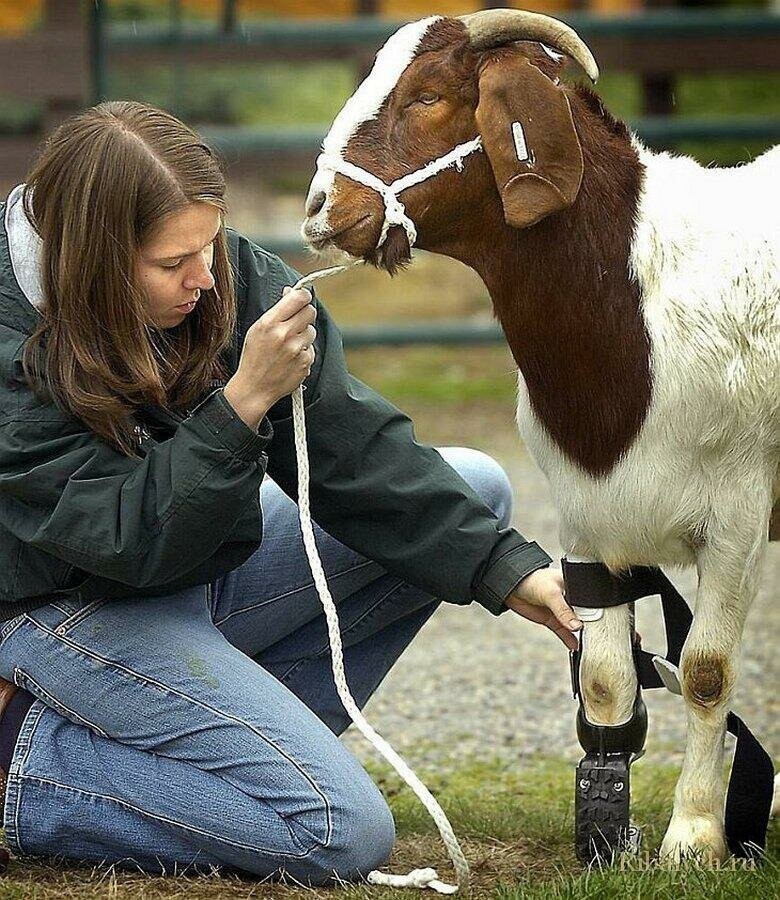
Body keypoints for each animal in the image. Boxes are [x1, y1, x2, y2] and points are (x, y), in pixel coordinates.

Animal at [302, 8, 776, 864]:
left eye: (427, 96)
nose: (322, 208)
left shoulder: (738, 517)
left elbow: (705, 673)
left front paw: (694, 836)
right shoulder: (587, 517)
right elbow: (607, 684)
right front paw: (609, 839)